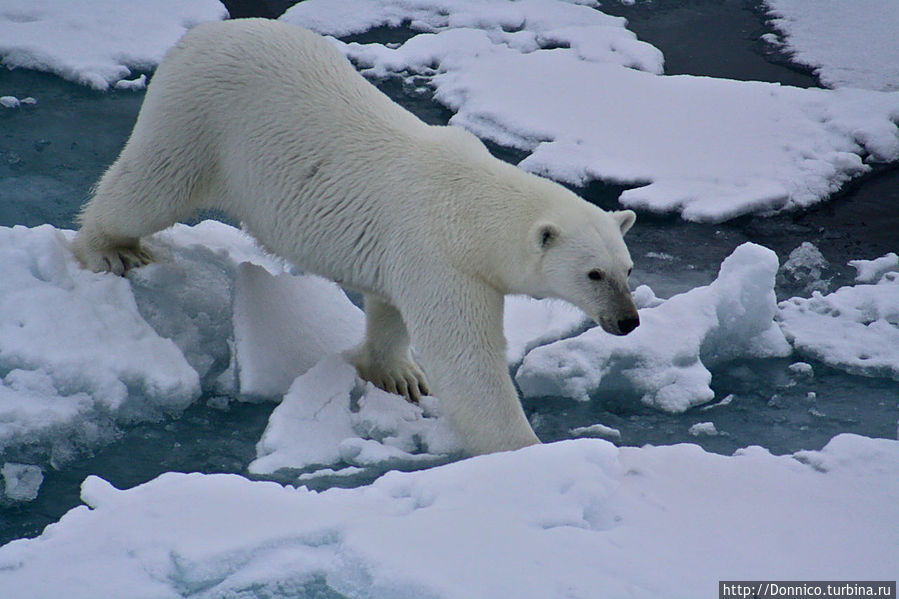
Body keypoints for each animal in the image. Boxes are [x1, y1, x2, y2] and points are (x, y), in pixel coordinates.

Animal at [75, 21, 640, 458]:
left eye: (628, 270)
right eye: (594, 274)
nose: (628, 321)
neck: (468, 205)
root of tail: (200, 35)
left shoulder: (407, 255)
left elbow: (390, 310)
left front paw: (399, 375)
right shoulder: (441, 257)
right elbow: (465, 358)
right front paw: (527, 450)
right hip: (199, 119)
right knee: (151, 185)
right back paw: (110, 248)